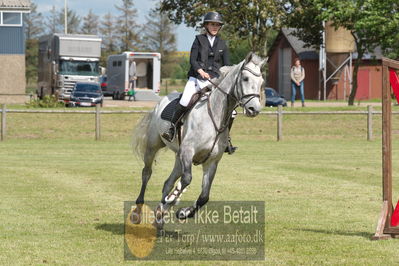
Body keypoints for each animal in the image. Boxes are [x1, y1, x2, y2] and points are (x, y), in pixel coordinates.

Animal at [133, 53, 268, 228]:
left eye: (261, 82)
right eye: (245, 78)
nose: (254, 110)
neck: (214, 117)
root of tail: (160, 103)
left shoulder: (211, 162)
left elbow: (204, 196)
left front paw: (182, 212)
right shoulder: (188, 152)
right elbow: (187, 179)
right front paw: (173, 200)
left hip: (178, 158)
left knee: (168, 182)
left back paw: (160, 217)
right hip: (153, 147)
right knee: (147, 173)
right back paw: (139, 211)